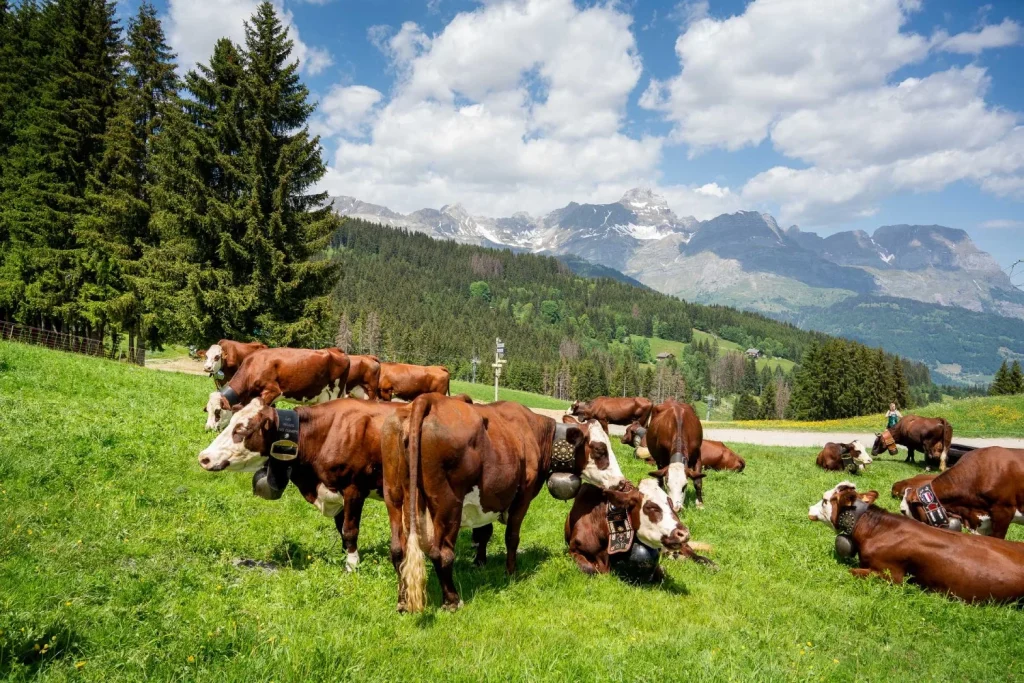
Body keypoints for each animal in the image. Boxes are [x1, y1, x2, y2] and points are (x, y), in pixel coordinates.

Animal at [195, 401, 407, 573]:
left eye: (241, 430)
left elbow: (349, 529)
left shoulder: (353, 489)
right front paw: (344, 556)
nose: (204, 458)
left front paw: (352, 565)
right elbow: (340, 528)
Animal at [201, 350, 350, 430]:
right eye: (207, 410)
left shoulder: (273, 391)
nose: (207, 428)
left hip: (335, 392)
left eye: (217, 411)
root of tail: (337, 351)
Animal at [382, 393, 622, 610]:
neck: (535, 433)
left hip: (394, 496)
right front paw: (511, 572)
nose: (621, 482)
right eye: (600, 449)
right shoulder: (523, 496)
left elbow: (483, 532)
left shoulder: (487, 496)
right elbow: (512, 537)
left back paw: (403, 601)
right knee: (441, 553)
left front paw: (480, 562)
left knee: (398, 550)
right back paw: (452, 601)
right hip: (447, 505)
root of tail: (429, 399)